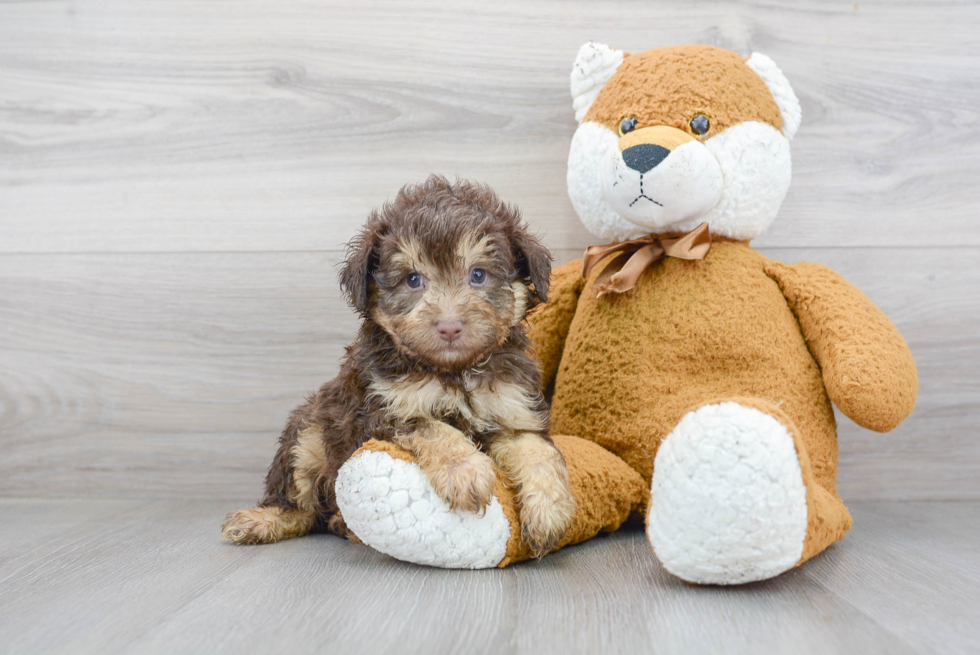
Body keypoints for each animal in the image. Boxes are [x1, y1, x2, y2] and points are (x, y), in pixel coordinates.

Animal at [222, 177, 576, 556]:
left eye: (478, 275)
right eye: (413, 280)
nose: (450, 327)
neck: (454, 372)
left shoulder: (513, 408)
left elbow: (538, 452)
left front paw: (550, 512)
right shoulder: (384, 410)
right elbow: (435, 428)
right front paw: (464, 471)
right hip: (308, 431)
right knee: (302, 504)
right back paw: (266, 520)